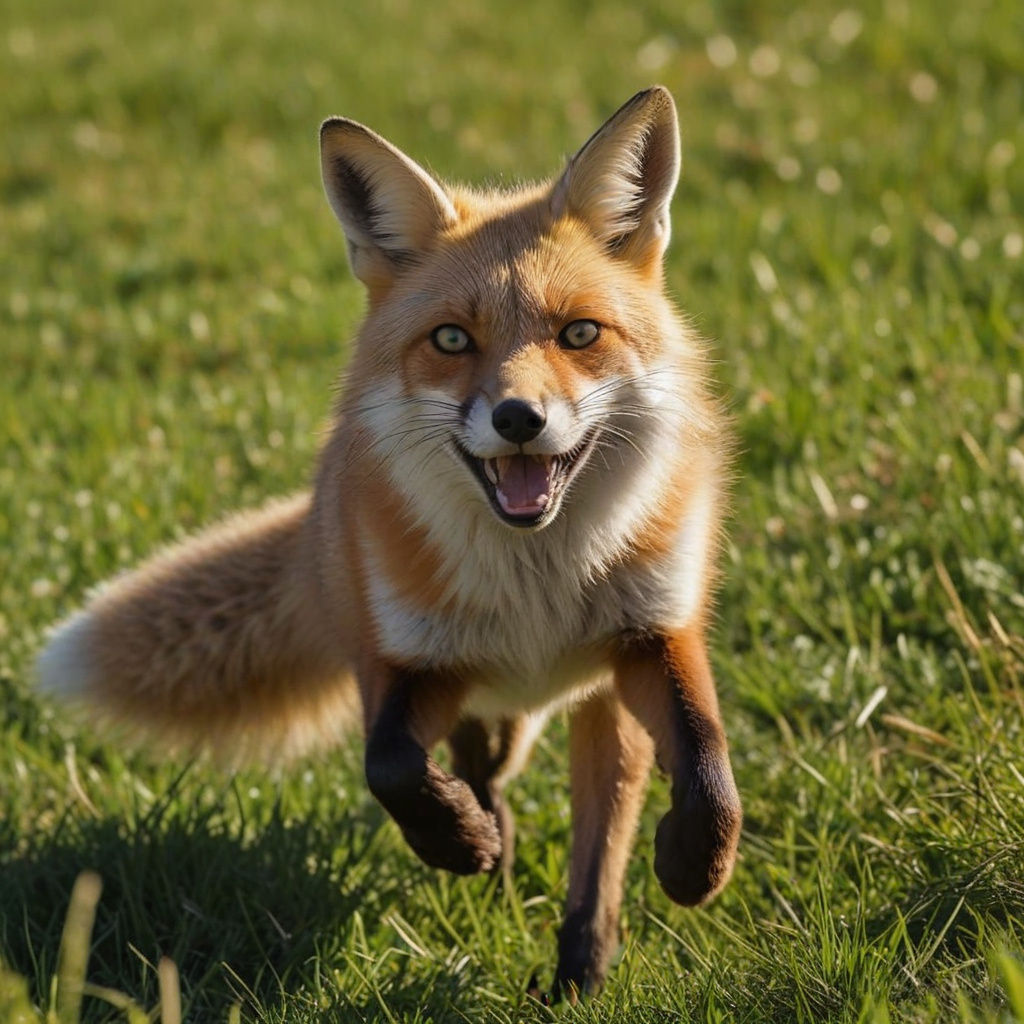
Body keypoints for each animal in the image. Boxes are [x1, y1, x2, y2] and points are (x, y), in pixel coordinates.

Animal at [37, 86, 742, 999]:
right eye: (451, 340)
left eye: (580, 334)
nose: (519, 418)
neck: (538, 588)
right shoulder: (407, 664)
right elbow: (391, 765)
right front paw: (458, 842)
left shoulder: (652, 637)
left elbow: (708, 762)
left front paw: (695, 866)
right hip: (486, 700)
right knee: (482, 770)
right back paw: (494, 848)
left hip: (593, 708)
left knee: (598, 843)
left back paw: (579, 972)